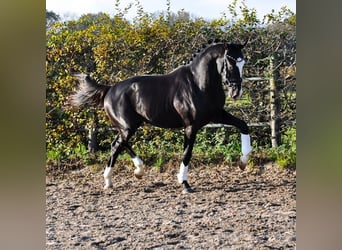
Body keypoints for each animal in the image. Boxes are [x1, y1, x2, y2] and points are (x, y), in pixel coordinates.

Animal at [69, 41, 251, 193]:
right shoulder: (191, 126)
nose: (236, 92)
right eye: (230, 61)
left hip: (131, 125)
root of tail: (109, 89)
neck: (198, 83)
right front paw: (184, 183)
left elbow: (243, 125)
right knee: (118, 144)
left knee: (117, 145)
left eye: (242, 62)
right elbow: (187, 153)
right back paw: (135, 171)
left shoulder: (217, 115)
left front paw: (243, 162)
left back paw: (117, 179)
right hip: (128, 127)